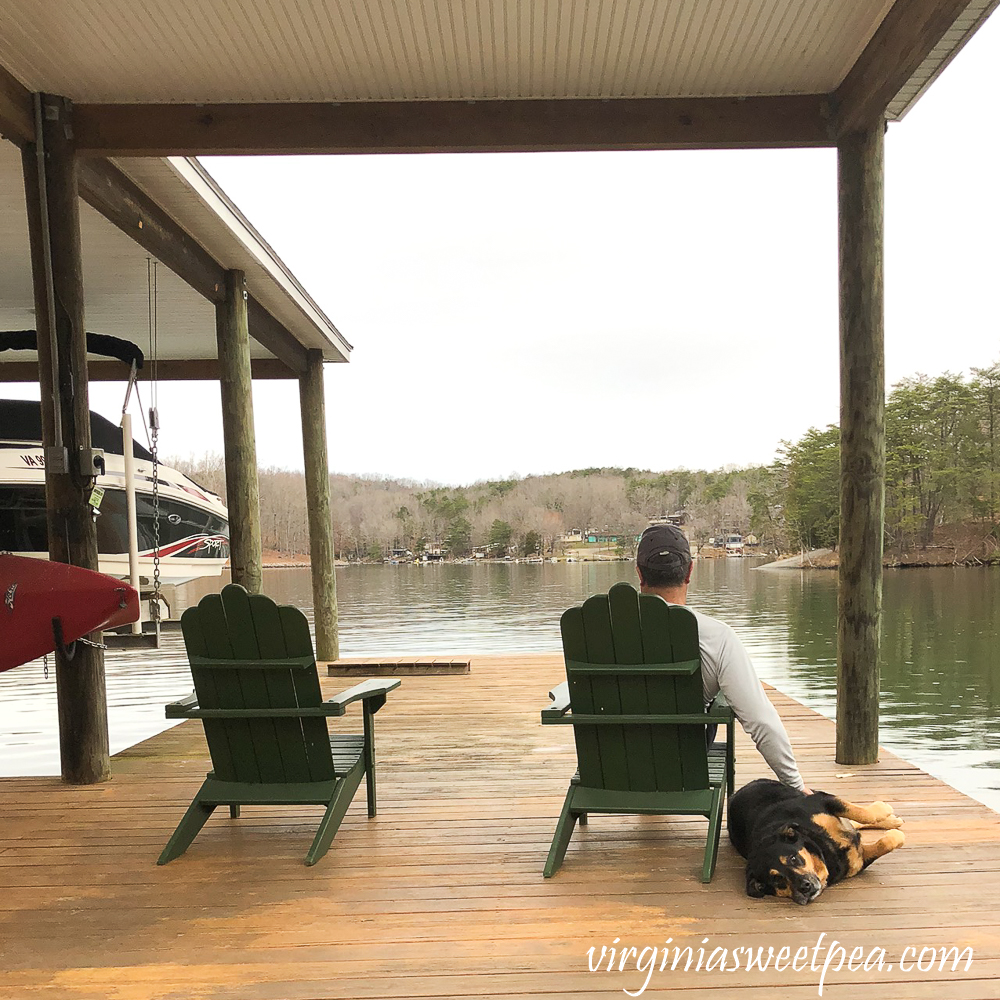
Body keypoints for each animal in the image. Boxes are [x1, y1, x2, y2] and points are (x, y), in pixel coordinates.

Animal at [728, 776, 908, 912]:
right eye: (777, 879)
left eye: (793, 858)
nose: (804, 887)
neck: (824, 848)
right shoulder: (859, 858)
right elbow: (888, 841)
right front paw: (893, 833)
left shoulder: (821, 800)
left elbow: (863, 814)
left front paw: (883, 809)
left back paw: (891, 819)